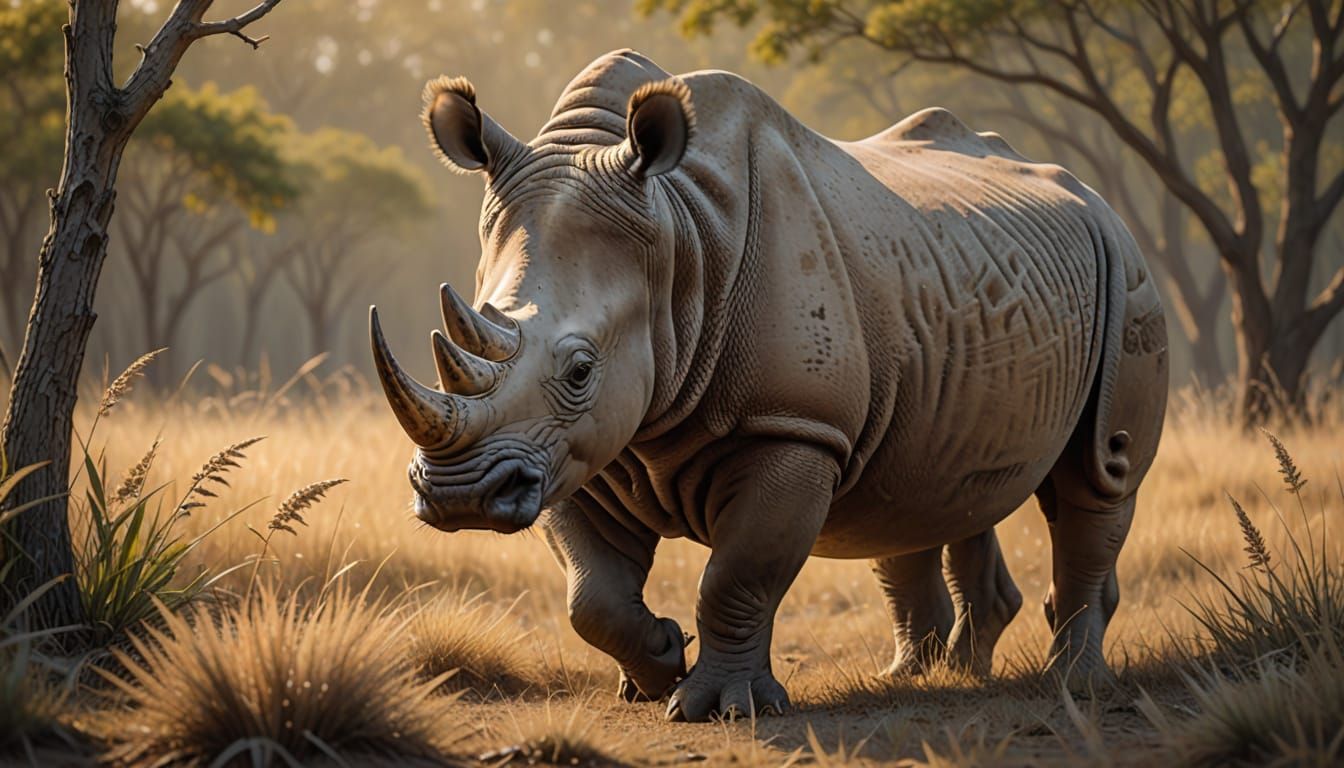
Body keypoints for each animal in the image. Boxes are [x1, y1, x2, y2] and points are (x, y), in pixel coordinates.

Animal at [369, 50, 1168, 722]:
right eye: (474, 319)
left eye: (579, 370)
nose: (459, 495)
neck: (676, 235)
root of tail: (1096, 198)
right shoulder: (570, 447)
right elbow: (590, 594)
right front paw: (656, 666)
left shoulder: (790, 426)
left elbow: (738, 575)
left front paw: (719, 707)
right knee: (918, 482)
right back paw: (927, 677)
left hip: (1127, 271)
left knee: (1099, 474)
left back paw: (1072, 684)